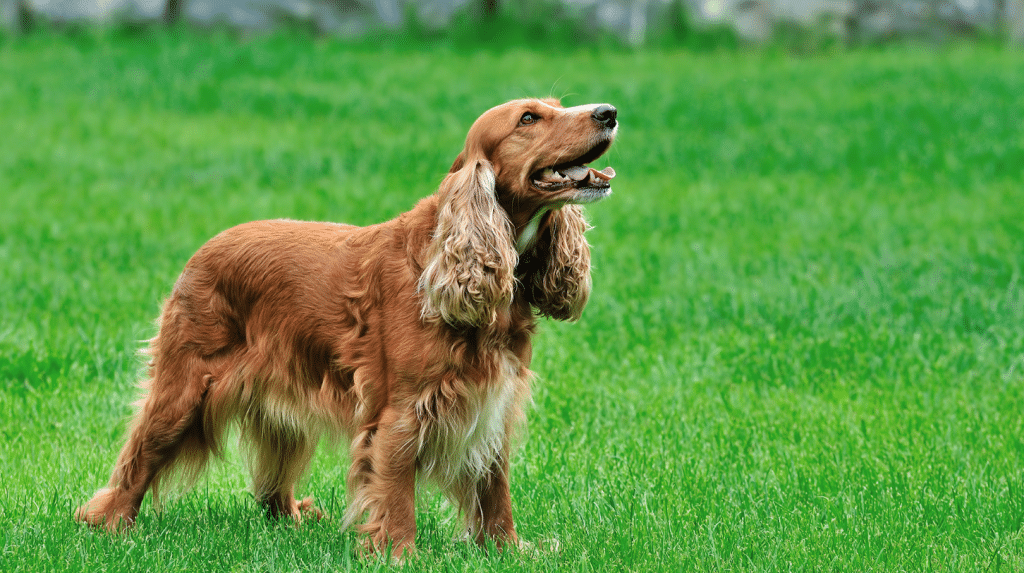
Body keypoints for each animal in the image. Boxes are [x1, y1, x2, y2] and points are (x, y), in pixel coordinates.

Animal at [75, 97, 618, 556]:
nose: (608, 112)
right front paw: (400, 555)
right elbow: (396, 491)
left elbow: (494, 486)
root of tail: (203, 250)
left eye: (558, 104)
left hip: (284, 404)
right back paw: (110, 524)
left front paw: (507, 550)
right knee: (137, 459)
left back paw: (294, 518)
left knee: (271, 484)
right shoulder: (402, 411)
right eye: (528, 118)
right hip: (185, 388)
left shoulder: (492, 402)